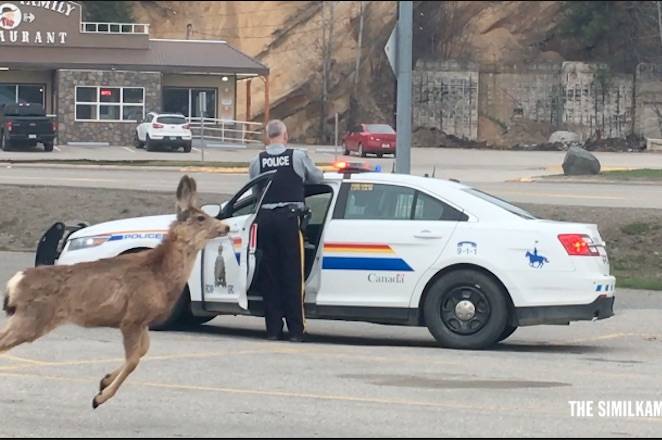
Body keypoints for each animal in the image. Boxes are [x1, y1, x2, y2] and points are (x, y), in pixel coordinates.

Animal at [0, 175, 230, 409]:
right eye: (201, 218)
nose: (226, 226)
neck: (159, 273)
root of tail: (16, 281)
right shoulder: (132, 317)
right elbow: (133, 359)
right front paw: (100, 397)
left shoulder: (142, 320)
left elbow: (143, 351)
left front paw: (104, 380)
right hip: (33, 318)